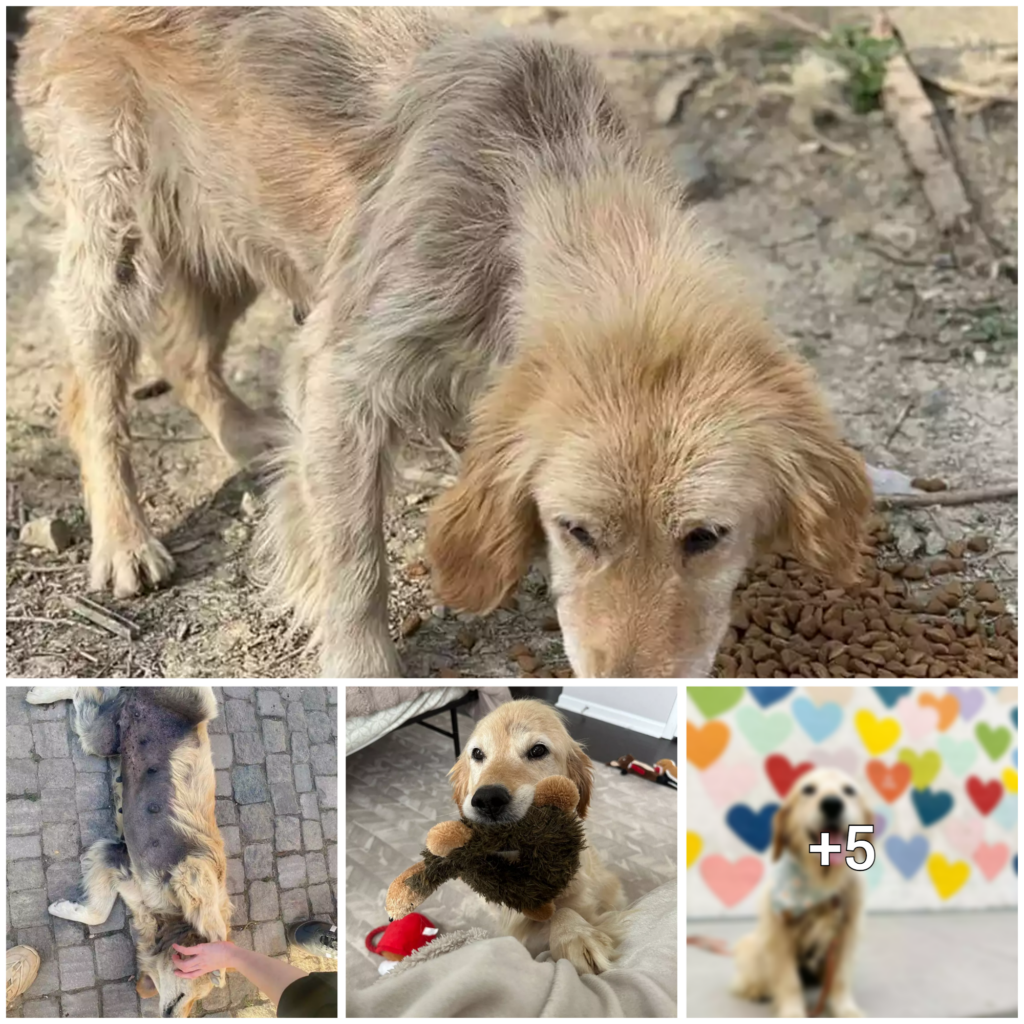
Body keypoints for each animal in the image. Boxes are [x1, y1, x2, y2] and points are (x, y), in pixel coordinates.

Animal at [16, 12, 868, 679]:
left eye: (705, 538)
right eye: (577, 531)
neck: (543, 180)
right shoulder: (346, 372)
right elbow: (354, 558)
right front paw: (362, 672)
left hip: (234, 224)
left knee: (184, 350)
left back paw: (247, 434)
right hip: (117, 229)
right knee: (90, 393)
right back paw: (125, 538)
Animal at [24, 688, 230, 1015]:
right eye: (195, 993)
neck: (165, 919)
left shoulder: (114, 856)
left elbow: (97, 912)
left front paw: (64, 908)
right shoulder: (196, 869)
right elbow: (213, 922)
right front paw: (219, 965)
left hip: (102, 736)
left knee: (87, 695)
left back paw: (40, 694)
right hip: (198, 702)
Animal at [733, 770, 868, 1015]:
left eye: (849, 790)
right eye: (808, 789)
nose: (832, 803)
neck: (821, 881)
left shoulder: (845, 933)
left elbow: (840, 978)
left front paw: (846, 1010)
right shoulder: (779, 933)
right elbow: (789, 981)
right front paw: (792, 1012)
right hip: (754, 946)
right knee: (748, 980)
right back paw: (756, 990)